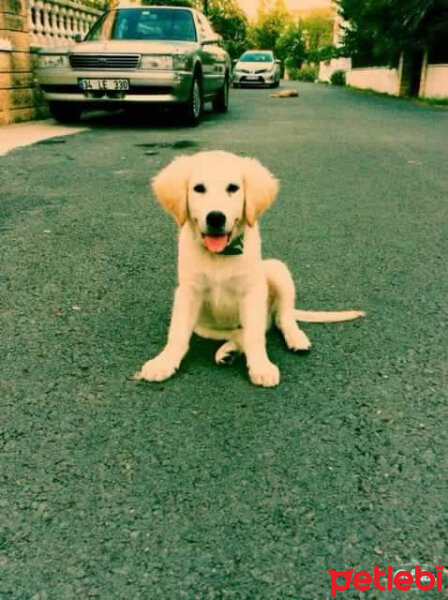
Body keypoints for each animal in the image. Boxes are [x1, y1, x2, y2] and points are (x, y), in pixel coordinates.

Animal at [136, 148, 364, 386]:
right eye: (198, 188)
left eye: (233, 188)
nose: (216, 217)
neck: (220, 256)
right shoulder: (188, 292)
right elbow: (178, 333)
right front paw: (164, 361)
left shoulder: (252, 292)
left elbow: (255, 336)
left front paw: (261, 366)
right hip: (205, 326)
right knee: (241, 333)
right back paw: (228, 352)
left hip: (277, 270)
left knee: (281, 317)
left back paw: (295, 338)